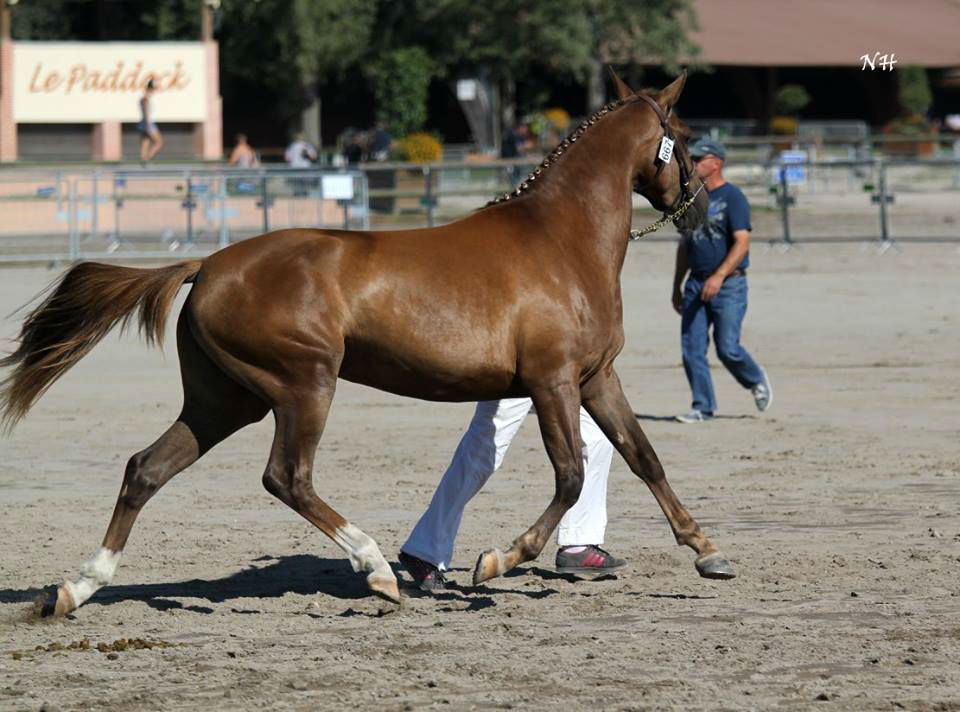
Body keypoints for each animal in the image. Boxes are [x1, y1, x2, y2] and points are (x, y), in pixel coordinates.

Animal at [1, 73, 736, 616]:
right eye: (684, 136)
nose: (701, 209)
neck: (562, 237)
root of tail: (206, 265)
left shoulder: (595, 378)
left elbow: (642, 457)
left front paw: (707, 551)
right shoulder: (552, 380)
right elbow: (572, 474)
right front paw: (494, 560)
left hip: (224, 400)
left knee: (146, 469)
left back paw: (75, 589)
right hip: (303, 384)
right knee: (286, 477)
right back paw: (378, 569)